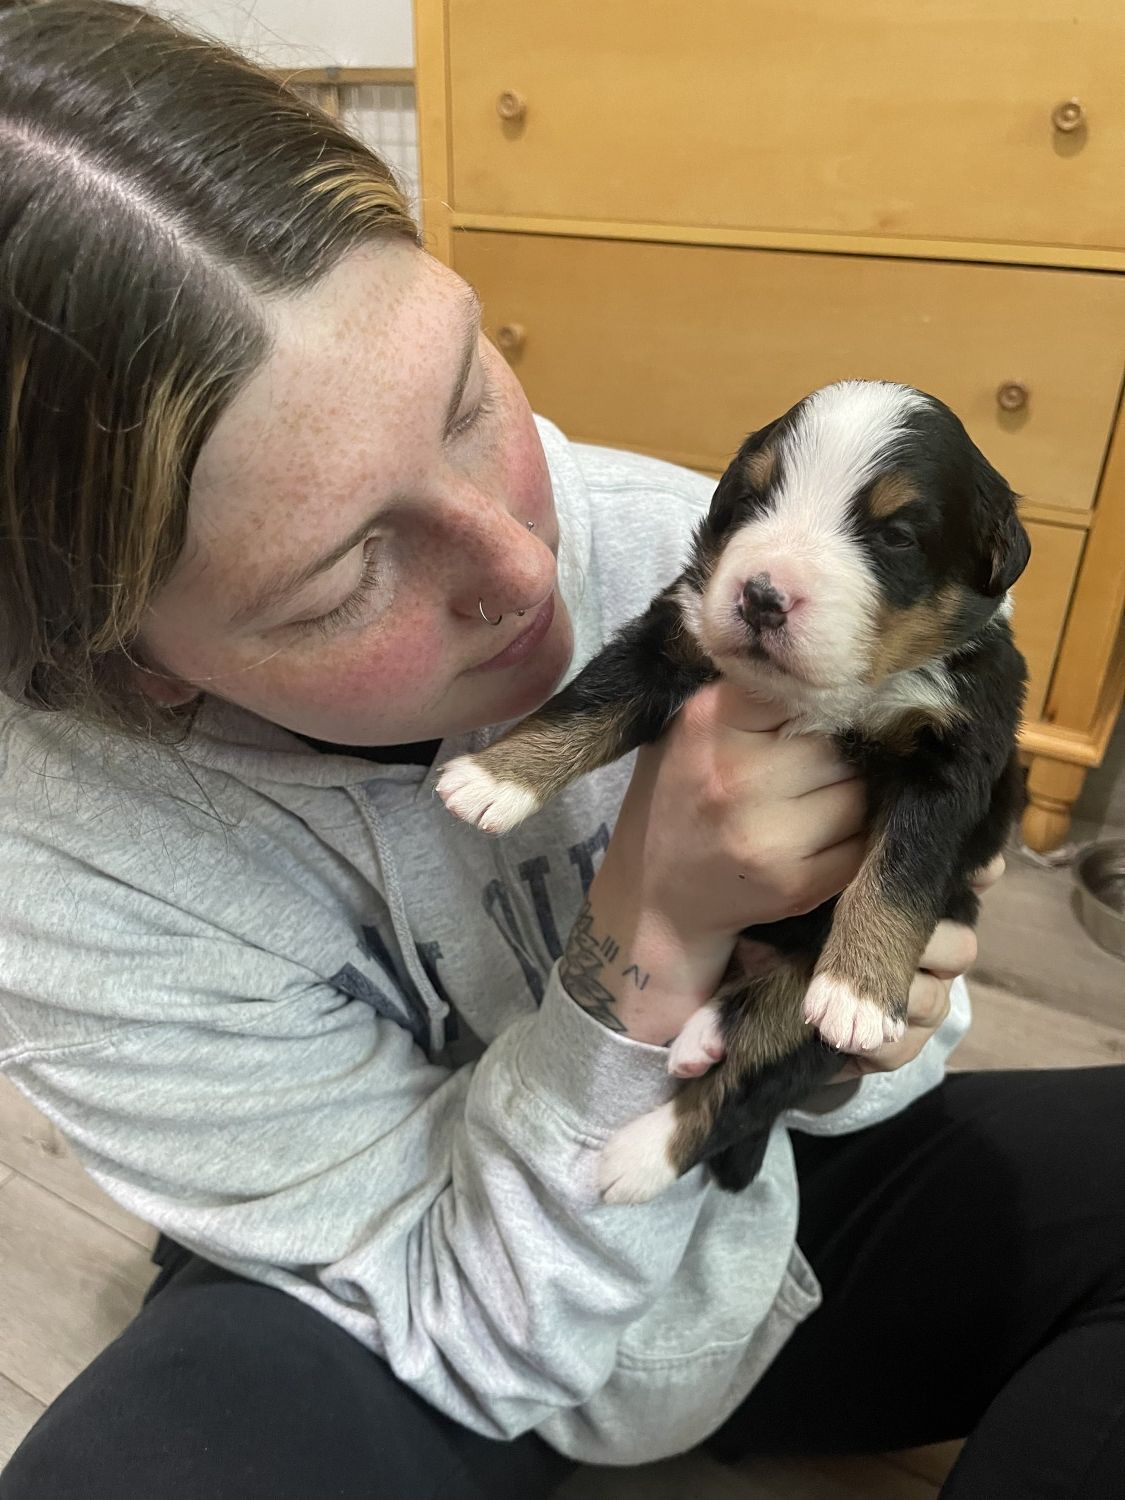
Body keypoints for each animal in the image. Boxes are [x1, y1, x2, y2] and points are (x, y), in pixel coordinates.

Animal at [438, 384, 1032, 1206]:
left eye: (896, 536)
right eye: (753, 498)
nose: (760, 596)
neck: (832, 694)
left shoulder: (950, 755)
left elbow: (901, 871)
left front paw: (857, 989)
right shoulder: (677, 632)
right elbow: (588, 701)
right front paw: (494, 778)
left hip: (799, 1023)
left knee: (743, 1090)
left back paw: (637, 1158)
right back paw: (696, 1039)